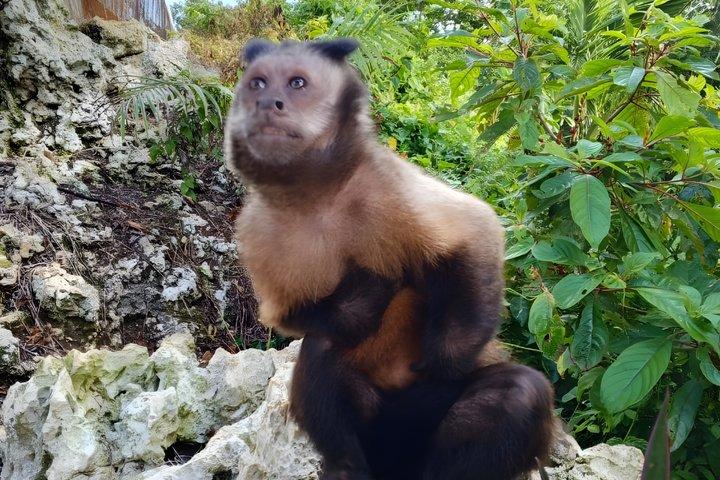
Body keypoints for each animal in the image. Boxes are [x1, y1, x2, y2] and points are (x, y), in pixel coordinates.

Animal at [224, 37, 555, 480]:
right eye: (257, 83)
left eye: (296, 83)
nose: (268, 103)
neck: (317, 194)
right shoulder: (257, 231)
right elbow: (291, 317)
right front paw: (367, 295)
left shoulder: (389, 185)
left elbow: (476, 234)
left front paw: (444, 364)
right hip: (376, 434)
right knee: (323, 350)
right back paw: (348, 467)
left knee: (517, 393)